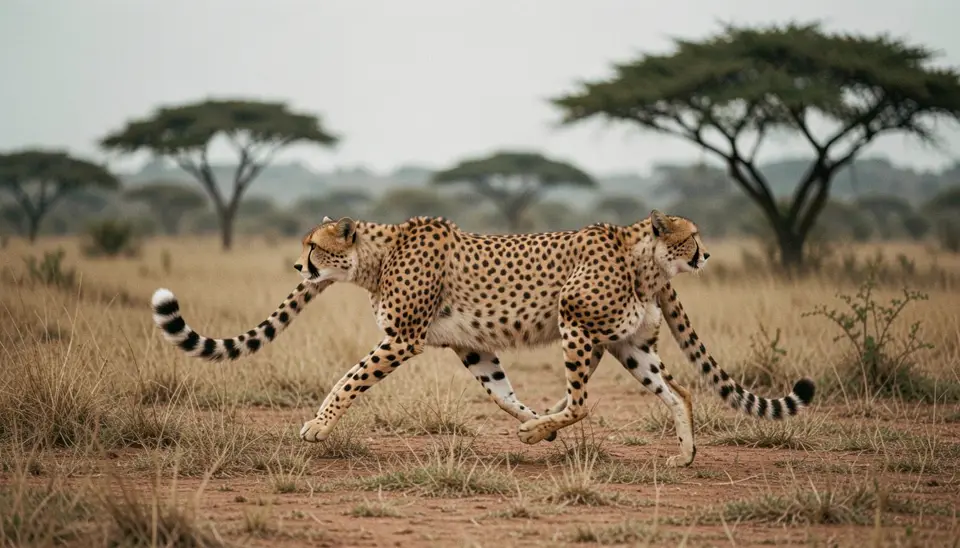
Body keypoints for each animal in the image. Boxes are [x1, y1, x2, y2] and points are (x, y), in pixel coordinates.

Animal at [150, 210, 815, 467]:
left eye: (314, 246)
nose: (298, 266)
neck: (375, 255)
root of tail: (624, 233)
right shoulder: (470, 346)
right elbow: (501, 391)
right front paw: (530, 422)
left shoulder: (404, 339)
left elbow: (349, 378)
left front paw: (317, 426)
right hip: (628, 342)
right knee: (678, 391)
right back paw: (682, 454)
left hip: (575, 317)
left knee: (585, 400)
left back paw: (545, 430)